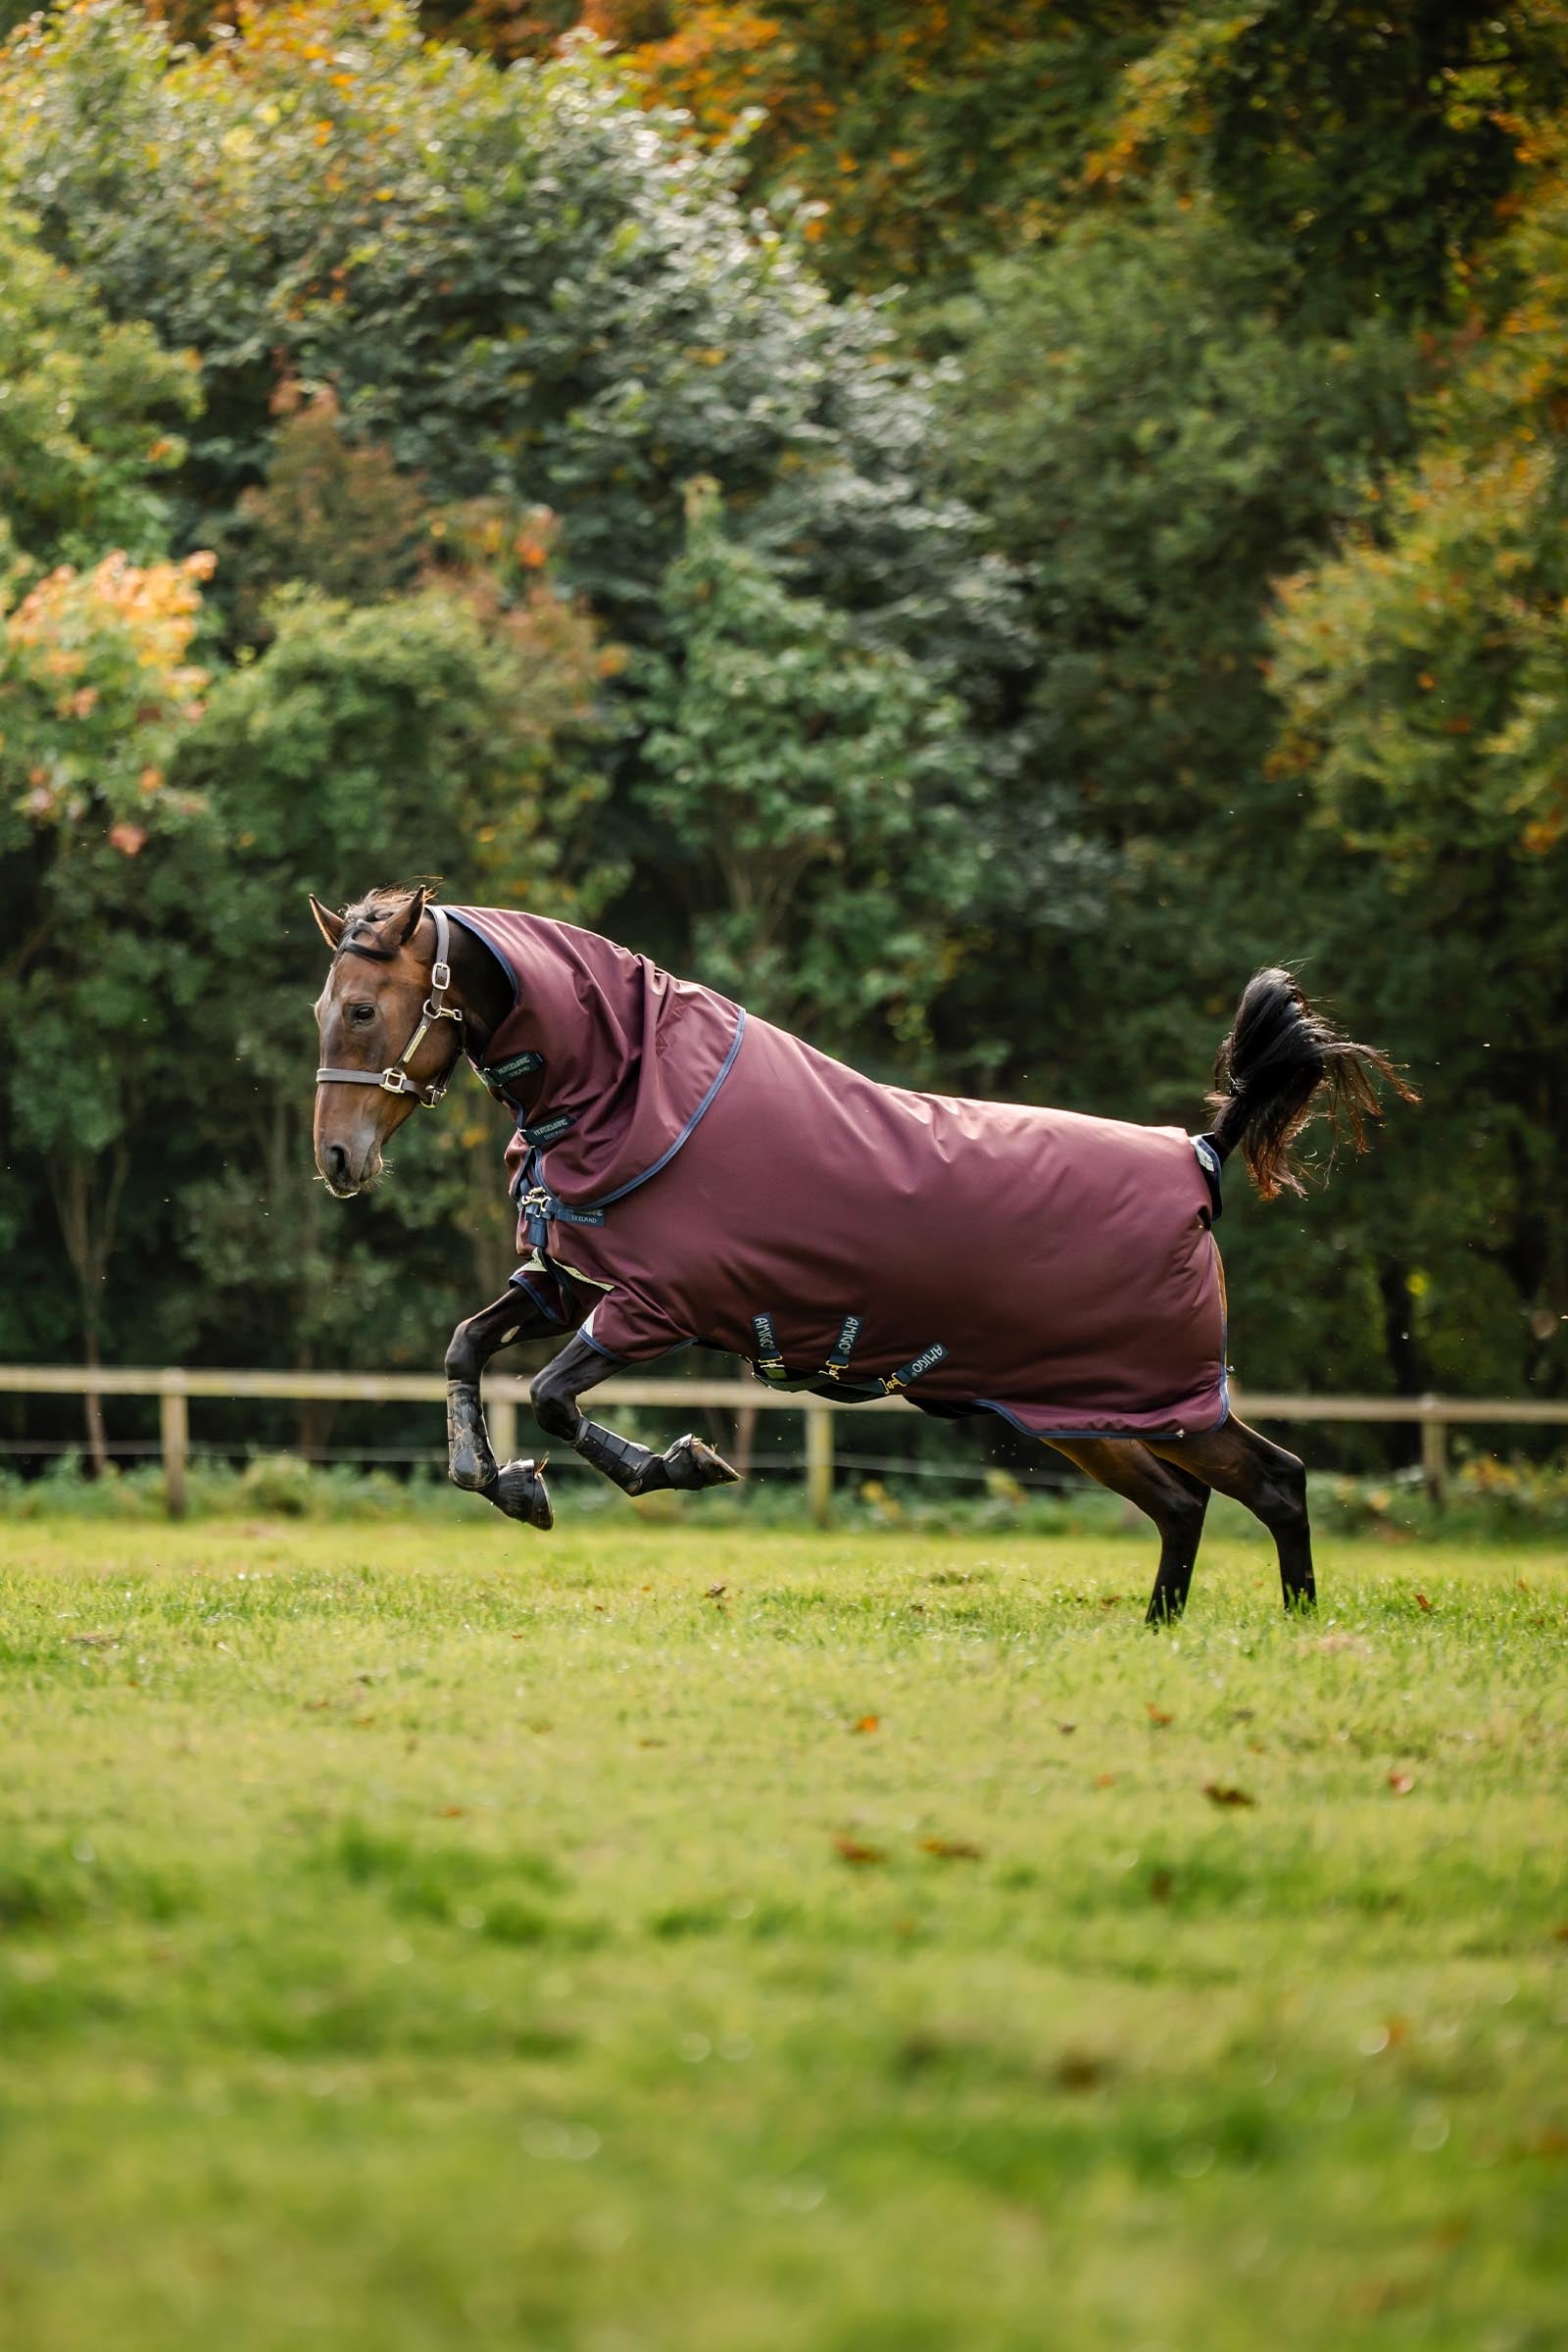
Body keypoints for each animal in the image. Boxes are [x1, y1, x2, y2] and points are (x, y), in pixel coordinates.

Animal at [311, 885, 1412, 1621]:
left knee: (1268, 1484)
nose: (337, 1158)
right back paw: (1178, 1629)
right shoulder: (563, 1284)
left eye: (364, 1009)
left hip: (1151, 1402)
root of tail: (1199, 1156)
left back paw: (1283, 1625)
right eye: (324, 1009)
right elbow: (464, 1349)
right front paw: (497, 1479)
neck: (629, 1083)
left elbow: (550, 1399)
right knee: (1203, 1499)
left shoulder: (652, 1308)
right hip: (1089, 1416)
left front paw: (673, 1464)